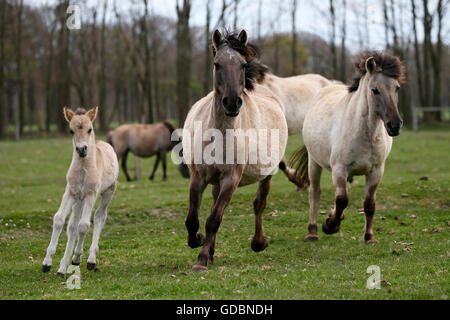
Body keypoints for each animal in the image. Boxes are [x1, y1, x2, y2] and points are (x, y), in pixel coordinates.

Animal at [42, 106, 118, 274]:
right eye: (71, 131)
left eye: (90, 129)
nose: (81, 149)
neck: (83, 168)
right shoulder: (71, 192)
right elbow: (60, 220)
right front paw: (49, 263)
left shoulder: (90, 194)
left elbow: (84, 226)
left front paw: (75, 259)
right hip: (79, 200)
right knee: (73, 224)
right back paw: (68, 262)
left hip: (107, 192)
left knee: (99, 217)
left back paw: (89, 259)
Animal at [183, 30, 288, 272]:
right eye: (217, 64)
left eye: (242, 64)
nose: (232, 103)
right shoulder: (198, 176)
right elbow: (193, 219)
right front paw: (198, 241)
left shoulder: (231, 178)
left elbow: (214, 219)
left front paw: (201, 259)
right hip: (215, 180)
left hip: (266, 174)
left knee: (259, 204)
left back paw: (258, 242)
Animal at [292, 52, 404, 242]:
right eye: (375, 90)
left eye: (396, 88)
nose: (394, 125)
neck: (364, 133)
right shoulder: (340, 170)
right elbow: (342, 200)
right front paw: (330, 225)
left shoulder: (376, 171)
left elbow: (369, 204)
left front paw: (369, 237)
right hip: (314, 163)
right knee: (315, 194)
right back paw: (312, 232)